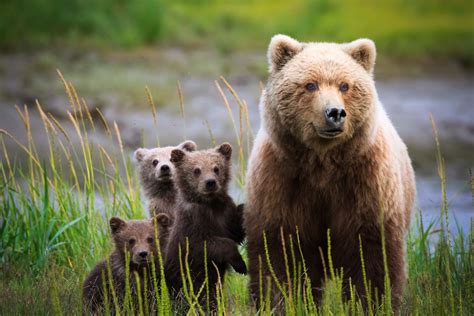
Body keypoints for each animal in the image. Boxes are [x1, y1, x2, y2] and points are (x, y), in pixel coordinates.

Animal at [166, 143, 246, 308]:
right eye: (196, 170)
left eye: (216, 168)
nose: (210, 182)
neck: (210, 204)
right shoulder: (192, 225)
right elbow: (207, 244)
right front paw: (240, 264)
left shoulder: (225, 214)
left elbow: (235, 232)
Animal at [244, 34, 414, 308]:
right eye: (310, 85)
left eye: (345, 85)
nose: (335, 113)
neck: (323, 162)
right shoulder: (282, 180)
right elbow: (281, 252)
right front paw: (283, 302)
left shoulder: (365, 183)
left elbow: (372, 256)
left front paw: (371, 302)